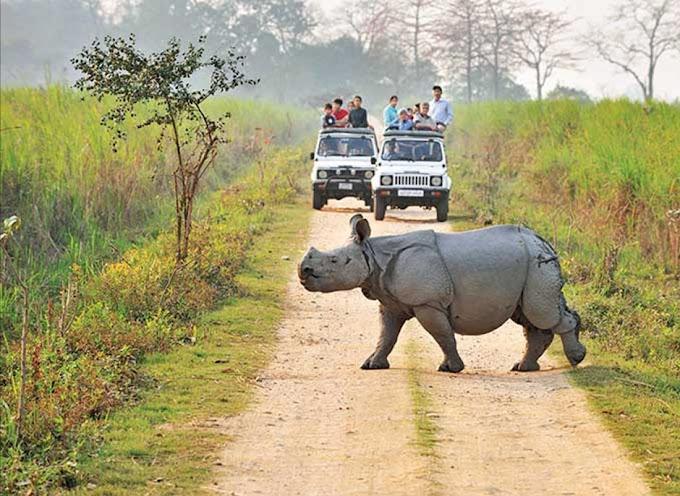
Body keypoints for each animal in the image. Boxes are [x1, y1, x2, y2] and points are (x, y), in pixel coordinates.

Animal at [298, 214, 586, 372]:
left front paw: (451, 368)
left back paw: (575, 359)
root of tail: (542, 240)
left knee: (542, 314)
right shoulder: (391, 301)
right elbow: (386, 335)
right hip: (531, 266)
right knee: (530, 316)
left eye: (335, 261)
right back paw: (523, 368)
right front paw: (371, 365)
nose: (303, 271)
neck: (373, 255)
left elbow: (442, 335)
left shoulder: (428, 302)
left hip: (537, 264)